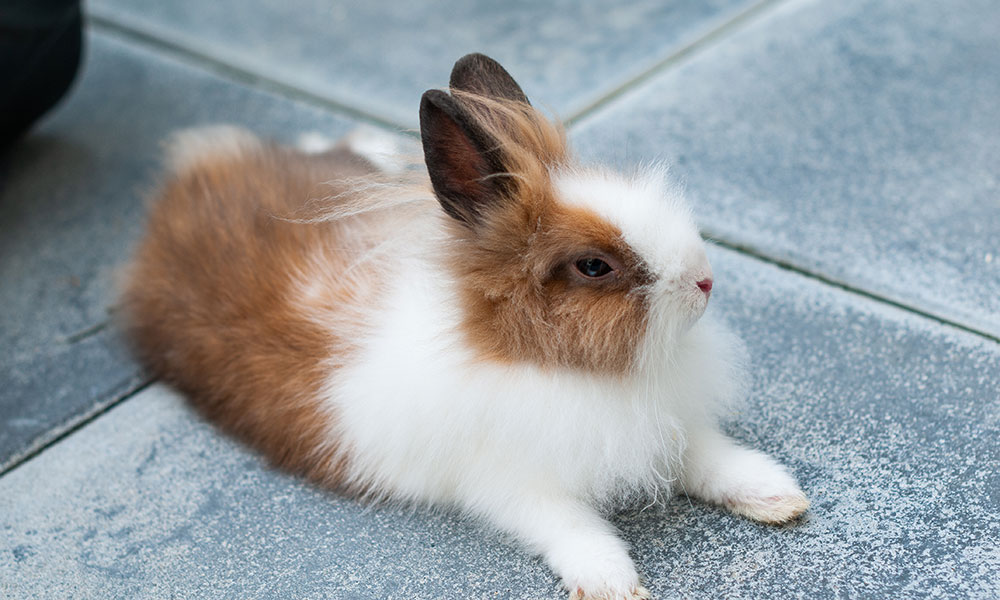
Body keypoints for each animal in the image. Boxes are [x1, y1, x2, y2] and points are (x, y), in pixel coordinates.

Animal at [121, 53, 808, 600]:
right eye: (594, 266)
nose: (705, 281)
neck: (548, 364)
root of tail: (193, 170)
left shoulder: (671, 429)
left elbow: (711, 457)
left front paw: (778, 496)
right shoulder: (513, 485)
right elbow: (575, 527)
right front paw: (613, 584)